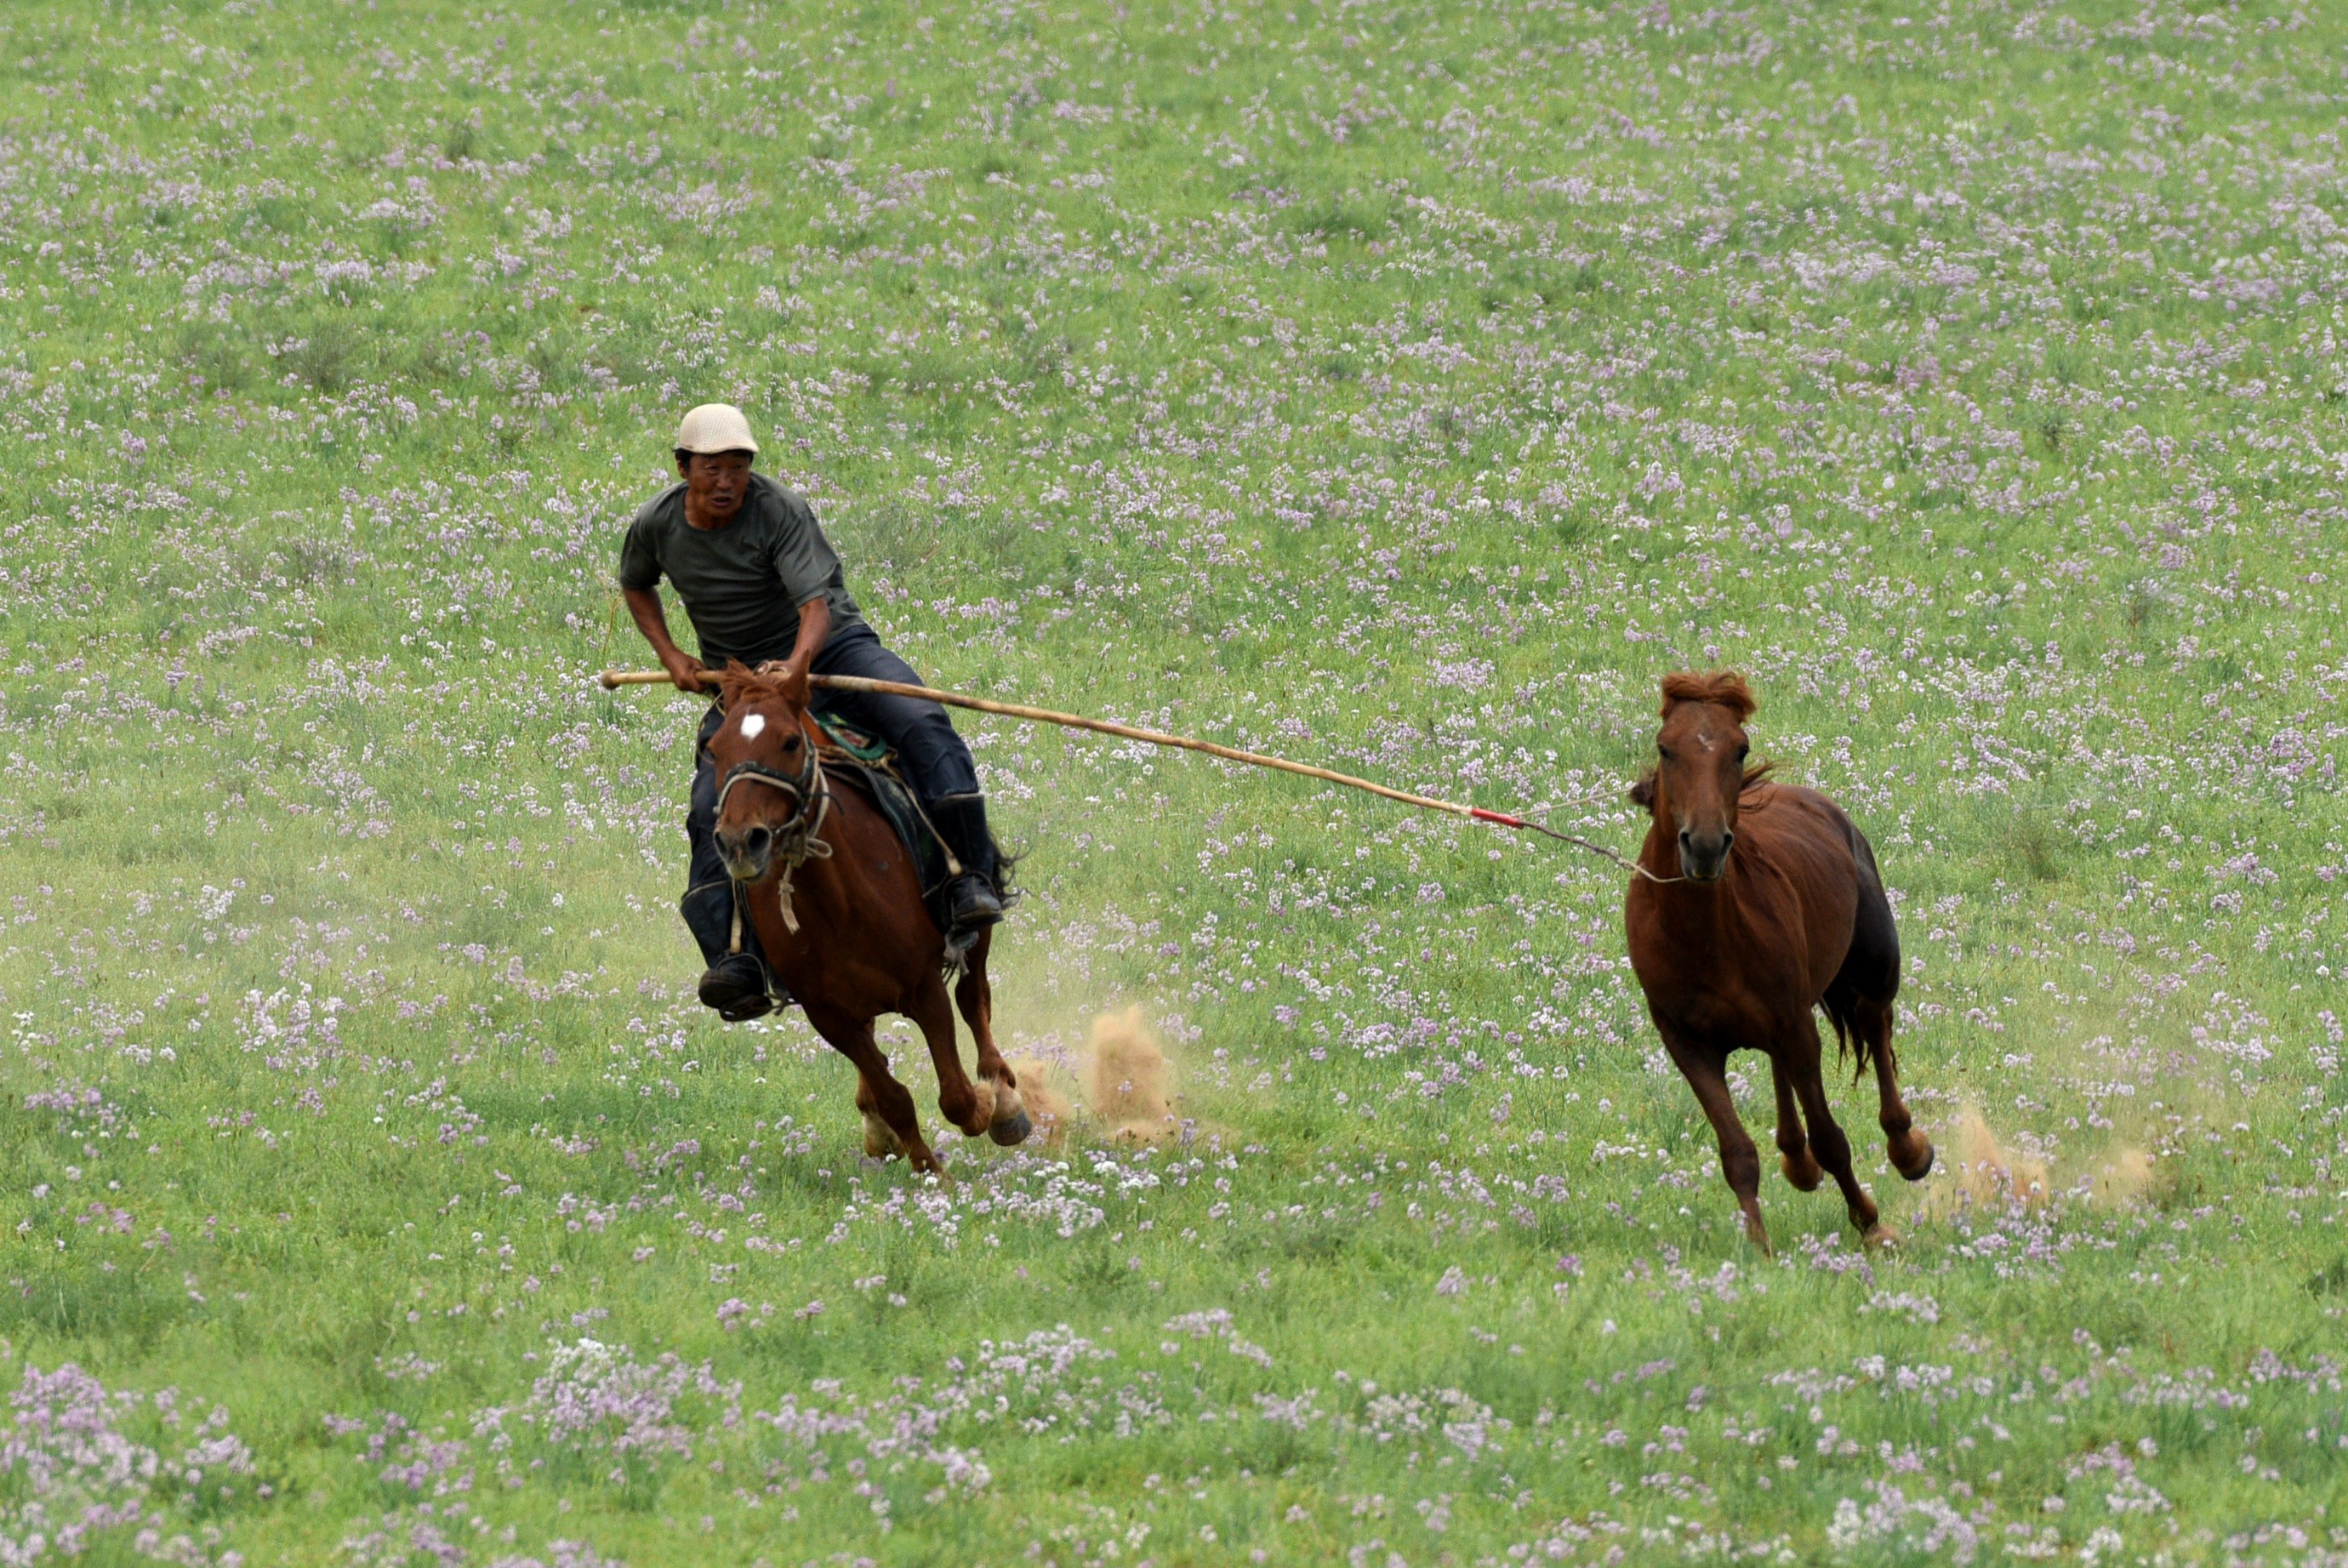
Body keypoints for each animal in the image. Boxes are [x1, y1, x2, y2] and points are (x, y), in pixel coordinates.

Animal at [704, 661, 1031, 1174]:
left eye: (789, 742)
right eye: (715, 750)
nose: (740, 841)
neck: (837, 906)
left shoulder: (923, 987)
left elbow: (956, 1095)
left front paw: (984, 1107)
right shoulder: (828, 1014)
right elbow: (894, 1096)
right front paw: (929, 1171)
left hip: (975, 927)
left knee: (974, 997)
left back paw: (1004, 1099)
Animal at [1623, 671, 1933, 1252]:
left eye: (1740, 749)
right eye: (1665, 748)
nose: (1704, 846)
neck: (1702, 936)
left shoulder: (1796, 1028)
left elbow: (1831, 1138)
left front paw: (1870, 1223)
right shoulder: (1688, 1045)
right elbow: (1737, 1153)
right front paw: (1758, 1250)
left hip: (1874, 969)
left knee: (1875, 1026)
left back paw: (1908, 1149)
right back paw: (1796, 1160)